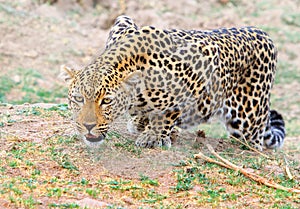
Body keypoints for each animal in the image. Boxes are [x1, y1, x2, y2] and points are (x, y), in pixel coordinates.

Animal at [61, 15, 286, 151]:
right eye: (78, 99)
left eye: (107, 101)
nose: (88, 126)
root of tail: (263, 33)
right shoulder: (123, 22)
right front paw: (142, 122)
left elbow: (168, 114)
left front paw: (154, 136)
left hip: (248, 119)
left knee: (255, 141)